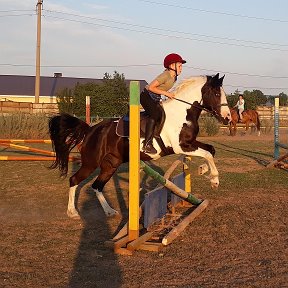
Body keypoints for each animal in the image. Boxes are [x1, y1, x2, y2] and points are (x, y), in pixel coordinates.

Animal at [48, 73, 231, 219]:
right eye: (216, 93)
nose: (228, 118)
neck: (183, 113)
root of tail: (91, 129)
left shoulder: (190, 143)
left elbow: (211, 150)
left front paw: (204, 170)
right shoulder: (181, 146)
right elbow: (207, 154)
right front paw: (214, 180)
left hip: (111, 164)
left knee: (97, 186)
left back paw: (109, 211)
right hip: (91, 163)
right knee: (74, 180)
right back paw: (72, 212)